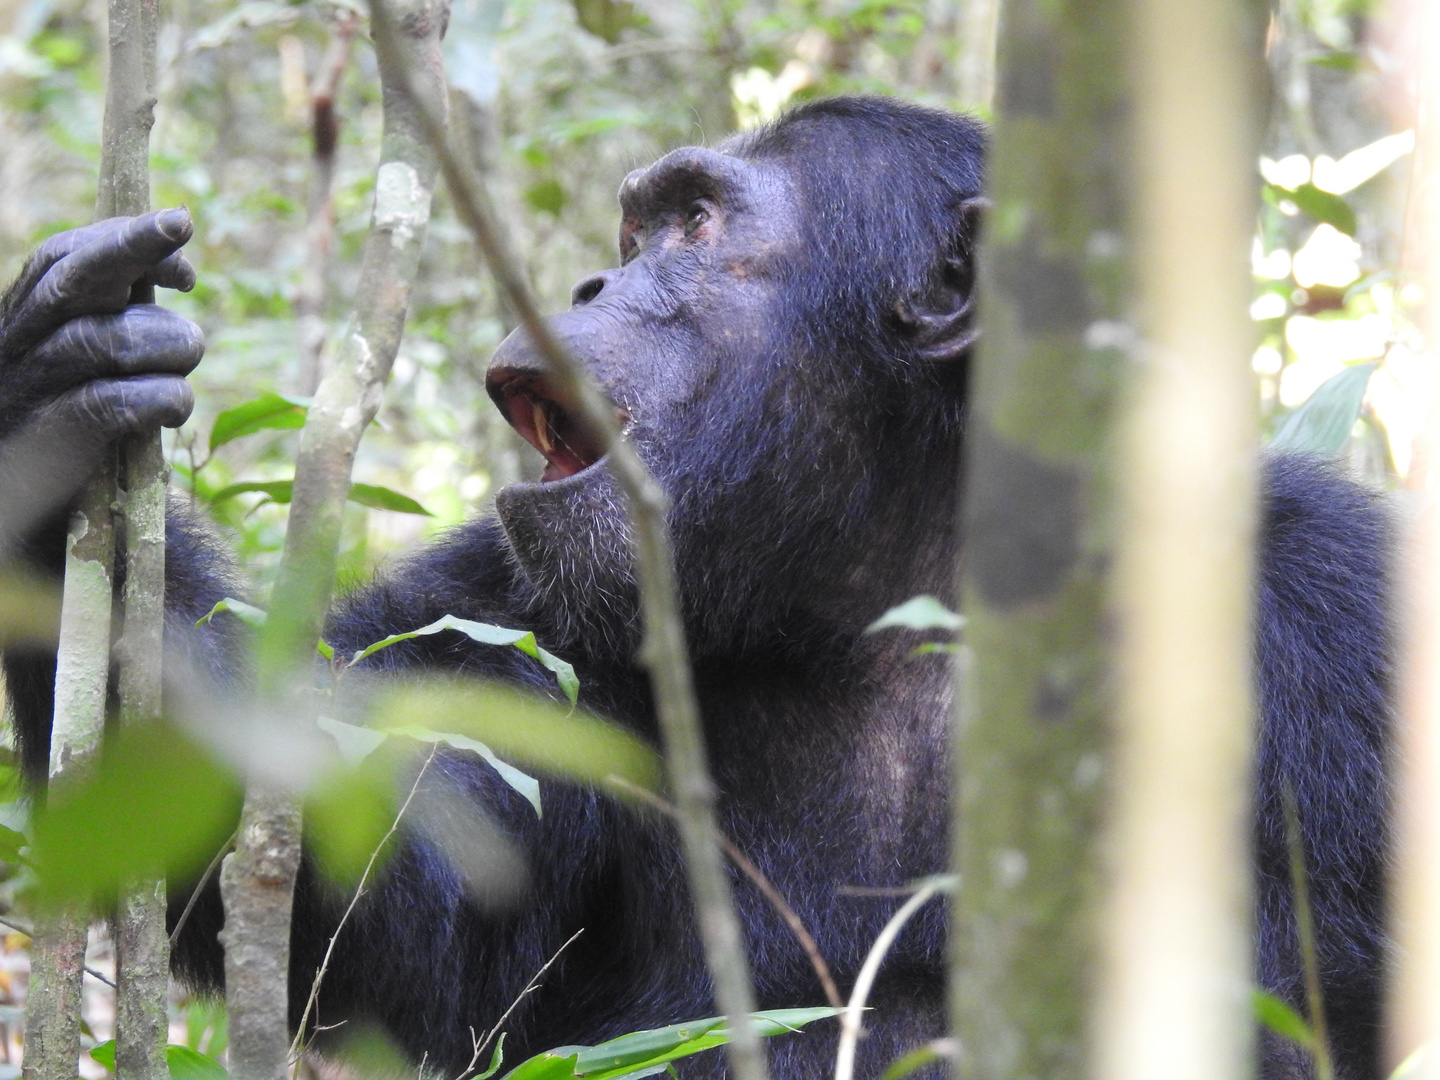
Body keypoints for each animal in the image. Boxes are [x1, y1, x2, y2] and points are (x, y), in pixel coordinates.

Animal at [0, 97, 1388, 1077]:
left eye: (700, 228)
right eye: (636, 234)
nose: (592, 282)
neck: (881, 582)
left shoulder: (1334, 616)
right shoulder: (506, 614)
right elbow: (367, 862)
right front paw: (46, 405)